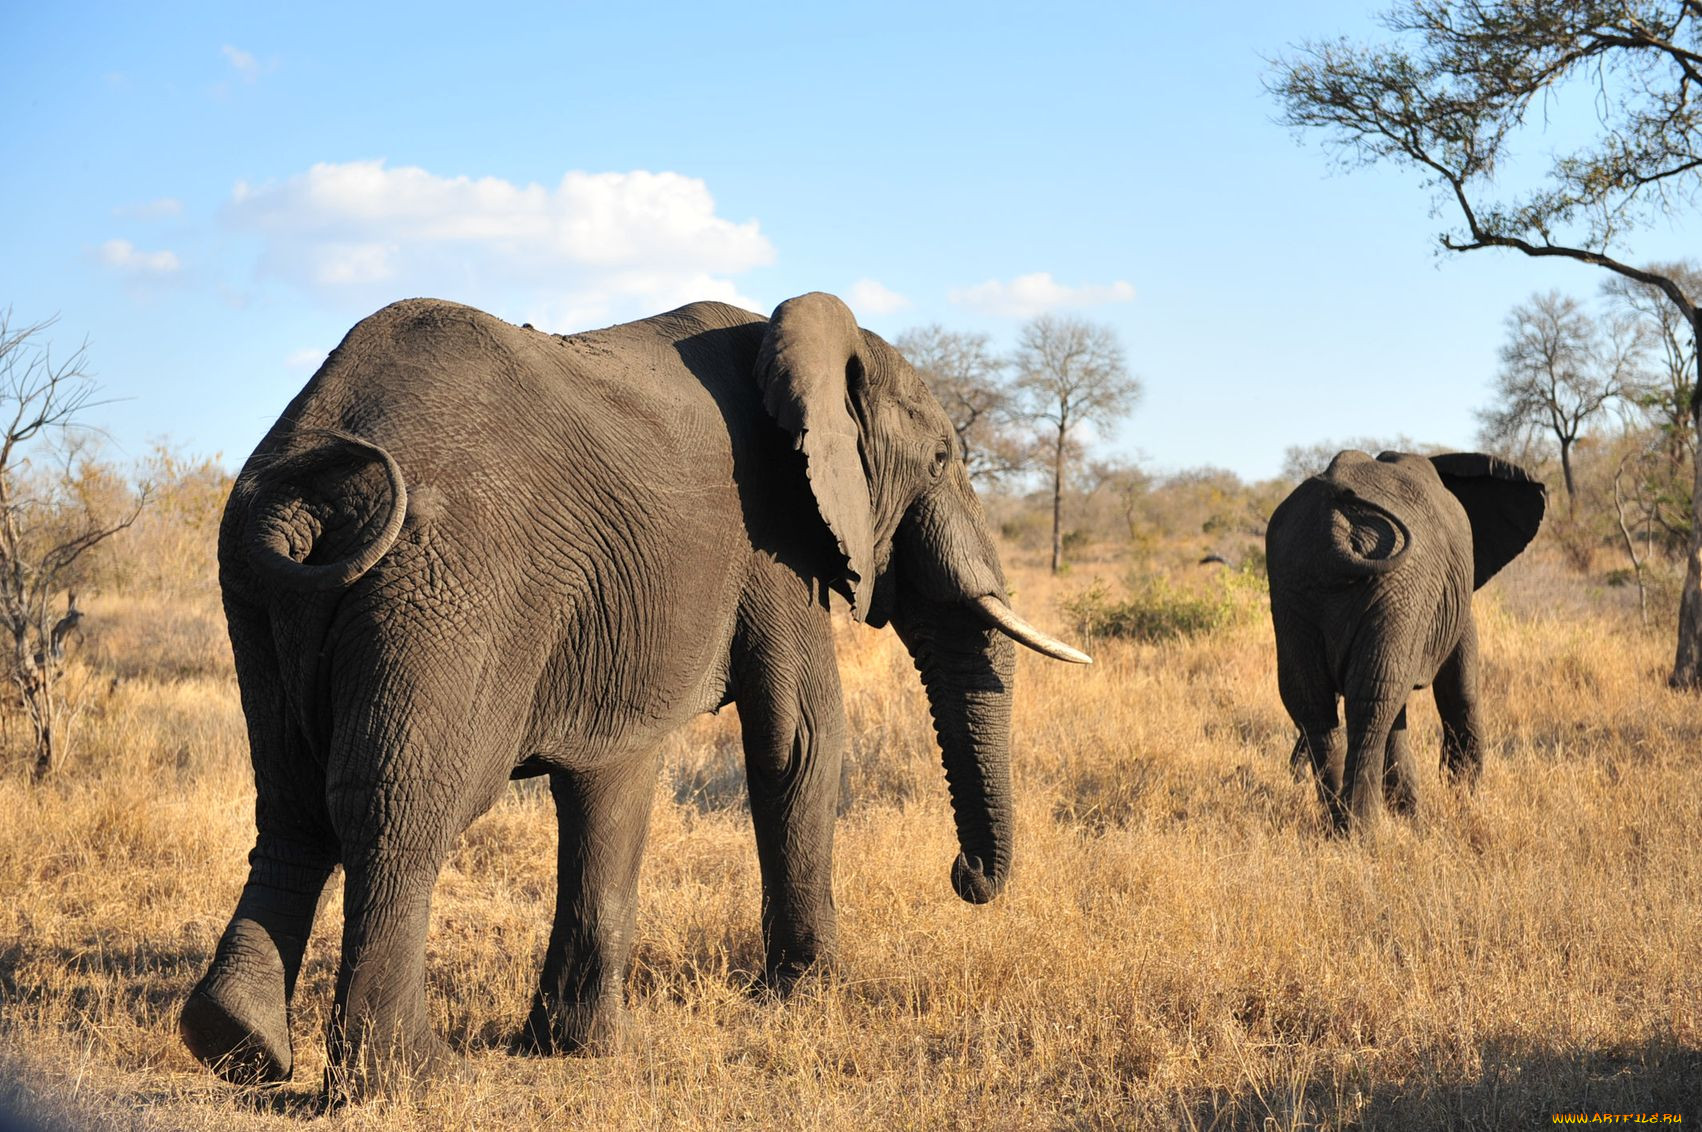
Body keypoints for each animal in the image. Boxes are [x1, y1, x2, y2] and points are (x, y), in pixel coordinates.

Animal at [176, 289, 1089, 1096]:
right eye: (943, 460)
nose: (966, 876)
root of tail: (306, 493)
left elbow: (610, 779)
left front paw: (572, 1048)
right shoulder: (774, 536)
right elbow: (798, 740)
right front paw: (807, 997)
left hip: (255, 591)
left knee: (292, 802)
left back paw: (238, 1045)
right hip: (448, 588)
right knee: (403, 808)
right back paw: (412, 1078)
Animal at [1266, 449, 1545, 830]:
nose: (1293, 771)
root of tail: (1335, 524)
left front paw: (1412, 812)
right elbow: (1460, 690)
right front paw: (1461, 797)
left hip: (1295, 582)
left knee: (1317, 700)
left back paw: (1336, 825)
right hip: (1396, 586)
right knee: (1373, 701)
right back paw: (1362, 830)